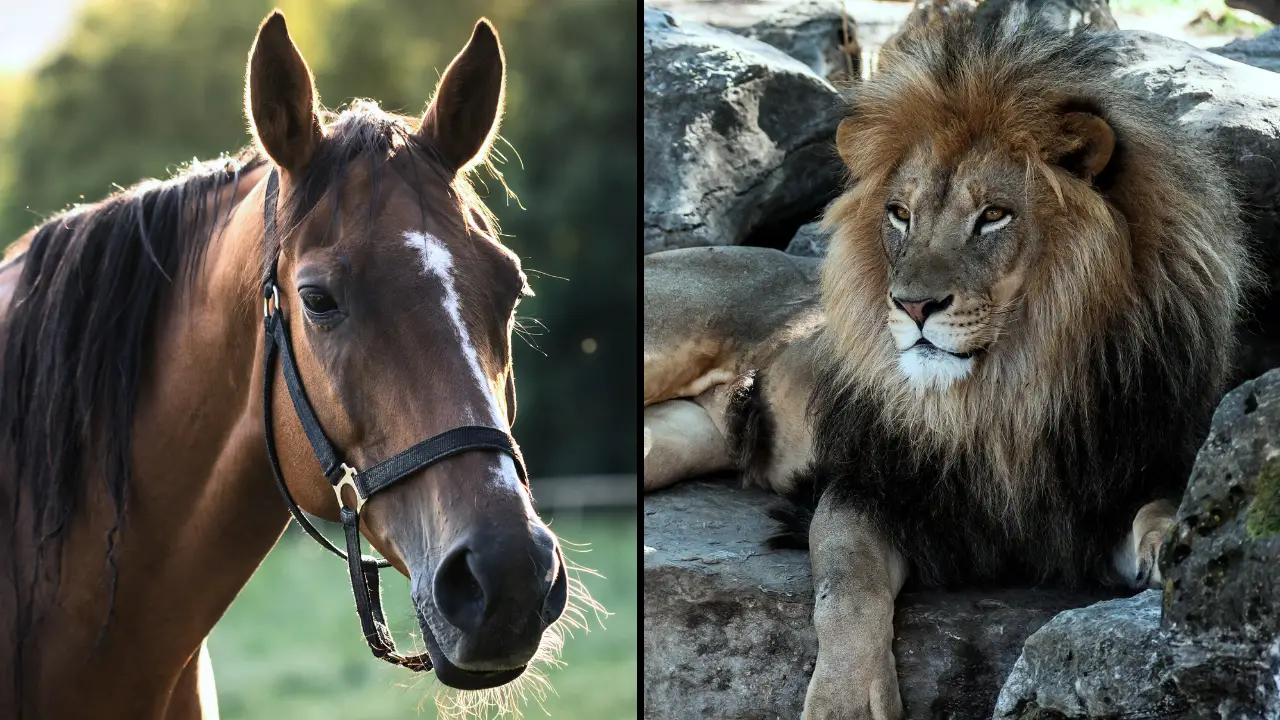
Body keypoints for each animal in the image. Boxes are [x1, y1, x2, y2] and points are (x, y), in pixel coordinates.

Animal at [643, 11, 1253, 719]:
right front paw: (844, 702)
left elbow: (1159, 505)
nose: (912, 305)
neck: (1005, 396)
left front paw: (1174, 549)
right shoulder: (868, 488)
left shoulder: (1112, 491)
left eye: (993, 215)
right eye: (899, 215)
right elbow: (846, 590)